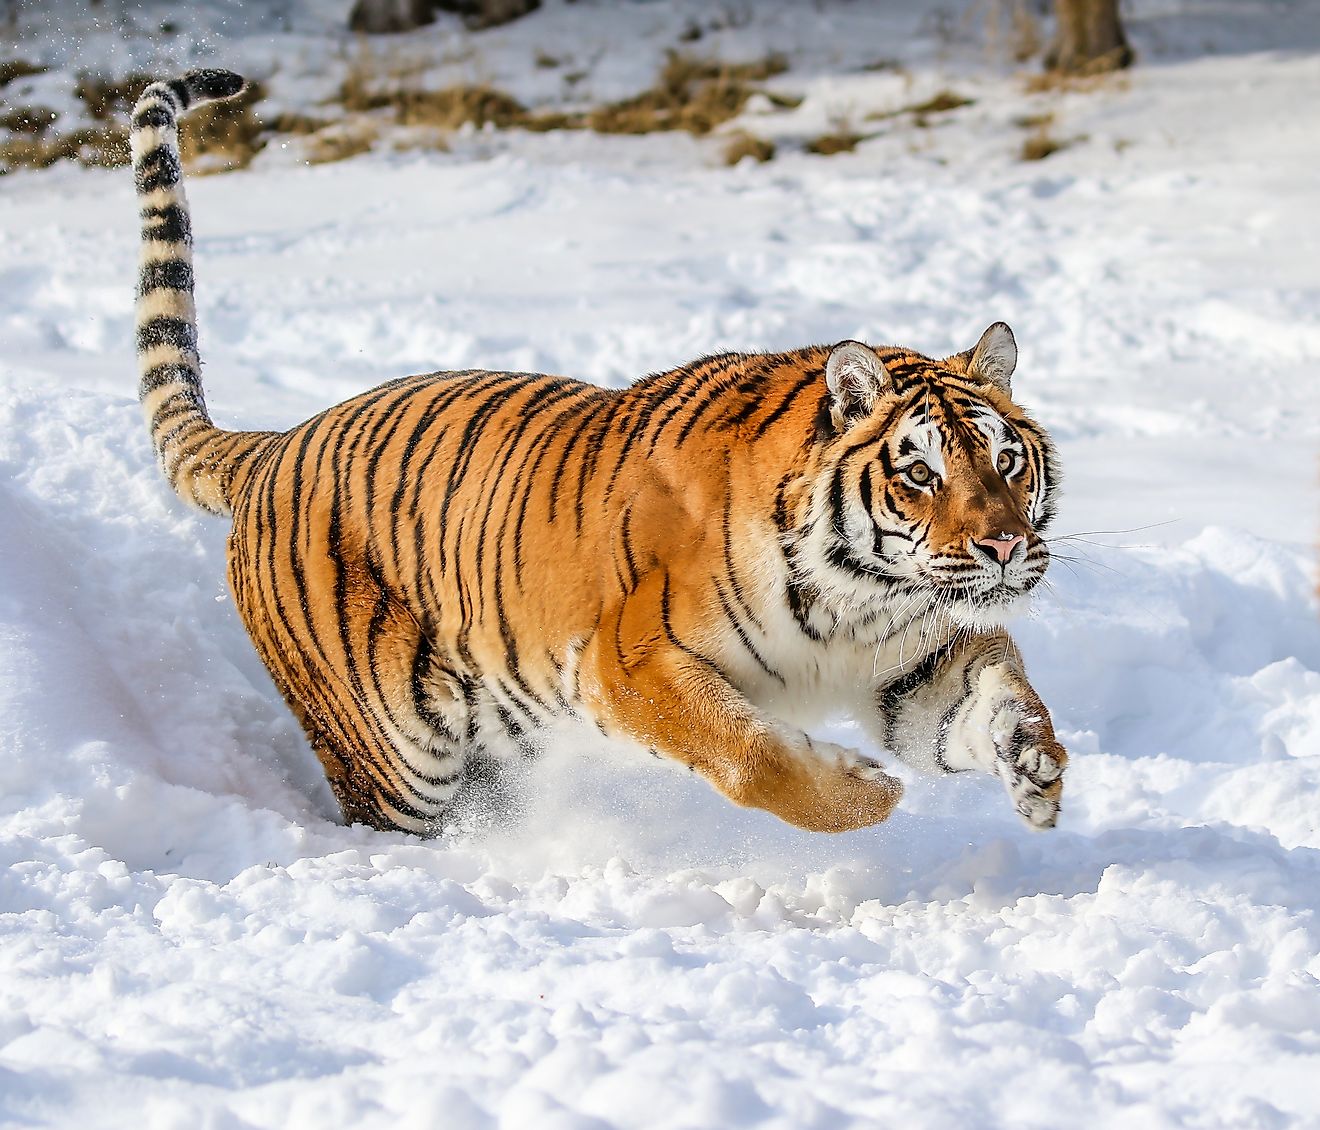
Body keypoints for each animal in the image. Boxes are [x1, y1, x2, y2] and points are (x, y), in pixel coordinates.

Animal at [128, 68, 1066, 829]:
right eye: (920, 472)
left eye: (1005, 462)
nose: (1005, 546)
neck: (858, 599)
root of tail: (277, 443)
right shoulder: (630, 663)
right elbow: (751, 756)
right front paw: (865, 791)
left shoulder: (916, 661)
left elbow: (991, 693)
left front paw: (1034, 760)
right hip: (398, 749)